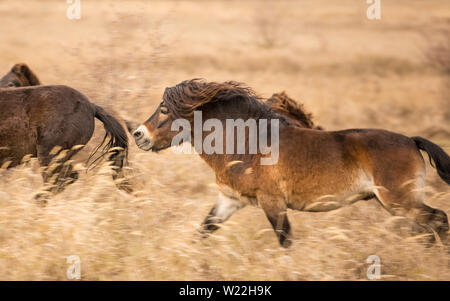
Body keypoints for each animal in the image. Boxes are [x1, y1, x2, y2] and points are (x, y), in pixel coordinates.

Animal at [134, 79, 450, 246]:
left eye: (164, 110)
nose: (138, 135)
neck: (247, 145)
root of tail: (411, 140)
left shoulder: (272, 202)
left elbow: (285, 240)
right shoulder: (229, 200)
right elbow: (203, 231)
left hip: (400, 202)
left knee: (439, 220)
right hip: (395, 204)